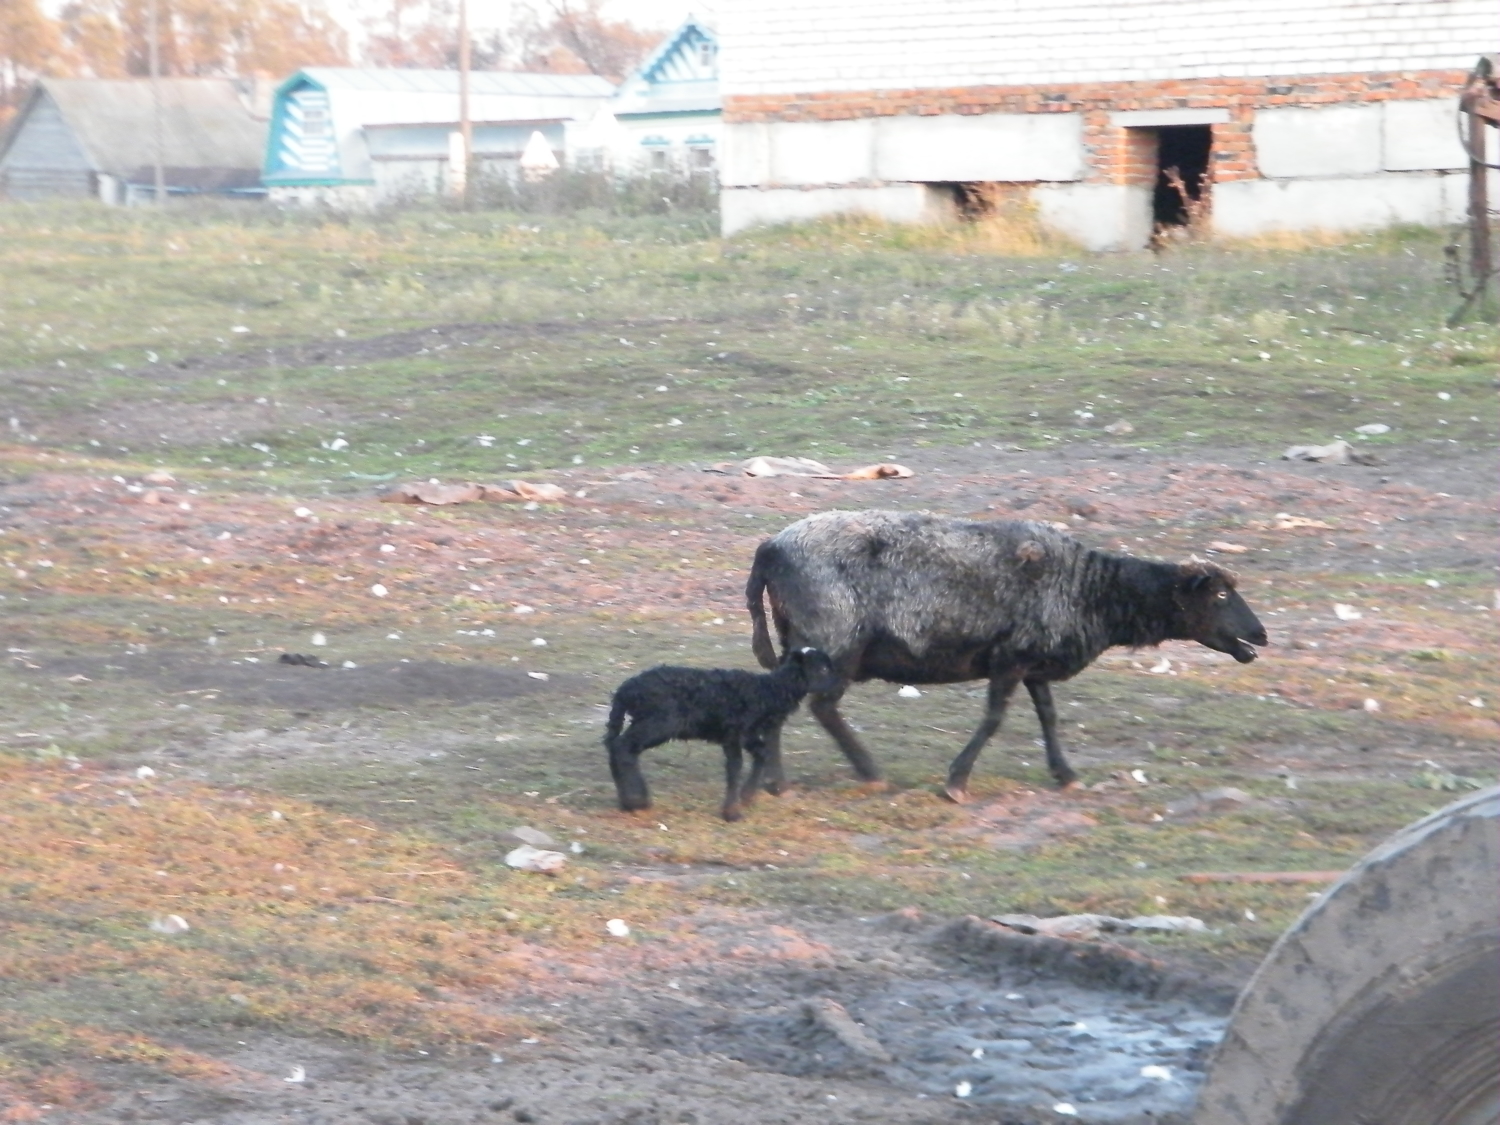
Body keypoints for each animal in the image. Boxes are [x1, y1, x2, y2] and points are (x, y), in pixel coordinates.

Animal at [609, 648, 846, 822]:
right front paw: (731, 813)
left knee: (614, 746)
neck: (770, 690)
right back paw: (638, 800)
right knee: (624, 747)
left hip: (646, 721)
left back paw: (625, 800)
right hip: (659, 722)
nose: (840, 686)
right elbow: (735, 767)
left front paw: (747, 796)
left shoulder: (746, 734)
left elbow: (761, 754)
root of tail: (625, 690)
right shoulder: (733, 732)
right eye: (823, 668)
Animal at [747, 510, 1266, 804]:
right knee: (822, 706)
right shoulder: (1010, 658)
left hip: (804, 640)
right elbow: (995, 717)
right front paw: (956, 783)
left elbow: (1049, 716)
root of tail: (769, 548)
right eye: (1221, 595)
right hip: (836, 640)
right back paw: (864, 774)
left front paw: (1066, 775)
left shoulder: (1036, 662)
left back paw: (779, 782)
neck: (1091, 590)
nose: (1260, 636)